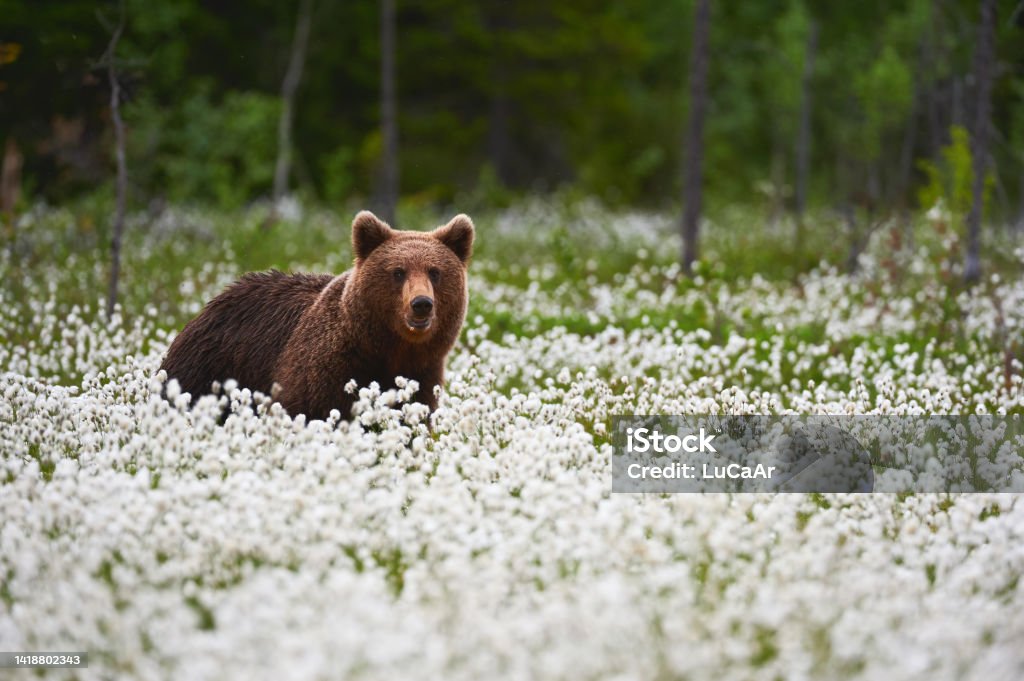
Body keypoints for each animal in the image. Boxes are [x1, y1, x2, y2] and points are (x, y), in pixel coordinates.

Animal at [160, 209, 475, 419]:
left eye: (435, 272)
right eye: (398, 272)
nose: (421, 303)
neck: (388, 349)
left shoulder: (421, 375)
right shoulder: (327, 370)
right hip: (209, 367)